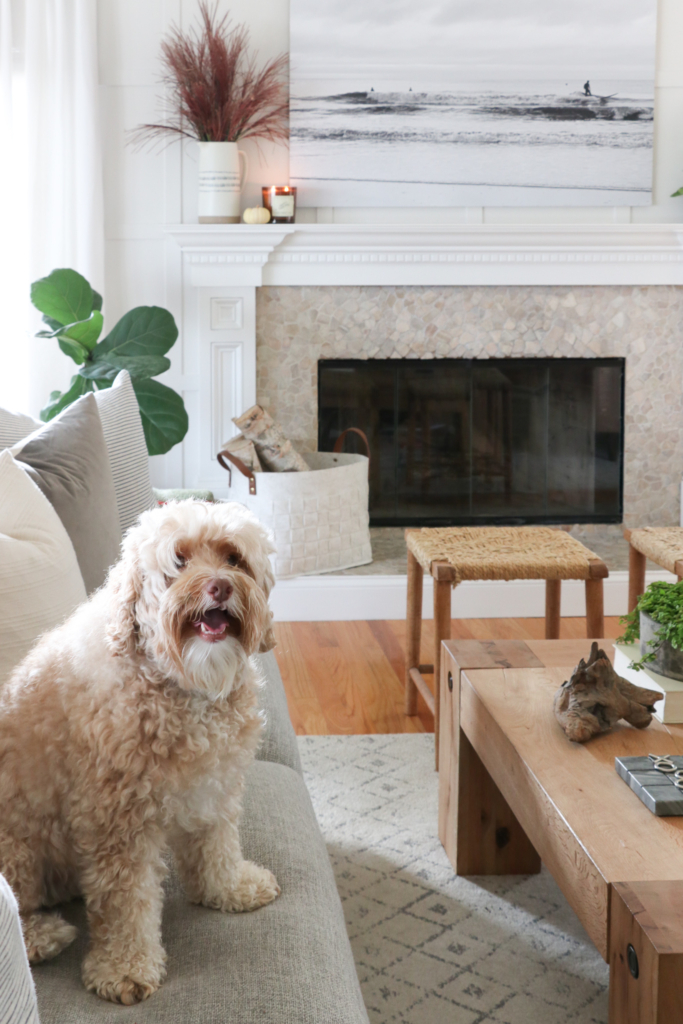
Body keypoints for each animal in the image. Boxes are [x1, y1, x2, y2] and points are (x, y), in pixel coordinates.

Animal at [0, 499, 280, 1003]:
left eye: (233, 558)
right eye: (179, 561)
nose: (220, 585)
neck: (182, 686)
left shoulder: (214, 789)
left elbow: (218, 846)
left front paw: (231, 888)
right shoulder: (117, 825)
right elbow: (125, 903)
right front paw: (125, 970)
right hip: (19, 847)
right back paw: (44, 935)